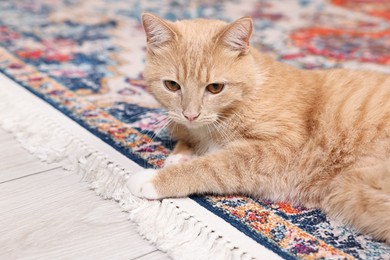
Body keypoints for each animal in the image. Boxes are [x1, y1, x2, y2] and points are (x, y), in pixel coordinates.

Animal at [128, 12, 390, 244]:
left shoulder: (275, 151)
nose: (190, 114)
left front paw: (154, 178)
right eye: (172, 85)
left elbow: (210, 167)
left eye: (215, 88)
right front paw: (179, 154)